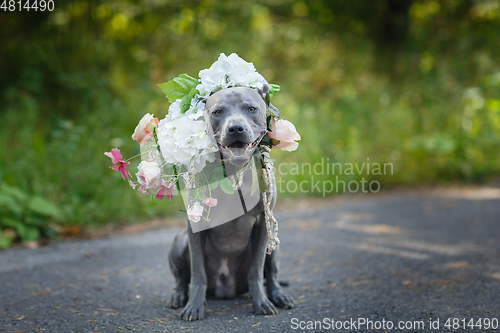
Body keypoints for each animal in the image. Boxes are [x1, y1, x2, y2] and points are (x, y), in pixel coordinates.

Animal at [168, 85, 292, 320]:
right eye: (217, 112)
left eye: (251, 108)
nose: (235, 128)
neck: (235, 171)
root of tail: (227, 290)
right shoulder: (195, 226)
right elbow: (197, 273)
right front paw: (194, 306)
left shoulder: (263, 225)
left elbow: (257, 270)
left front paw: (261, 302)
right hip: (179, 241)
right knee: (181, 278)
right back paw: (179, 297)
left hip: (274, 244)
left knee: (271, 274)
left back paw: (277, 296)